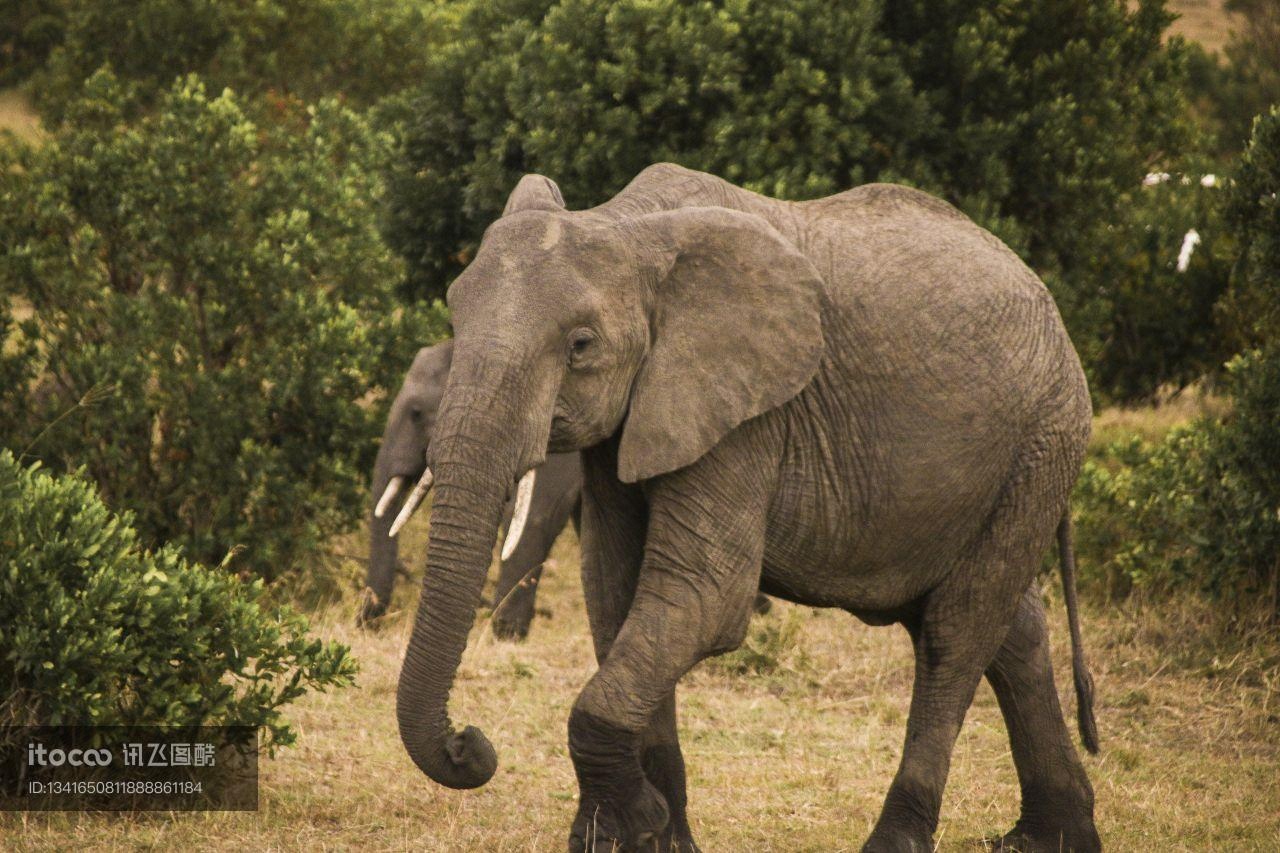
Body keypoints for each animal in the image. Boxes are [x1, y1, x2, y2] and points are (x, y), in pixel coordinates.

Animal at [391, 161, 1100, 850]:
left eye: (581, 346)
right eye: (455, 321)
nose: (469, 742)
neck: (628, 227)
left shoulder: (748, 415)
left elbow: (702, 597)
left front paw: (634, 824)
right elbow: (615, 592)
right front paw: (649, 838)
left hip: (1045, 437)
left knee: (957, 632)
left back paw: (900, 839)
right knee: (1013, 630)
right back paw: (1051, 840)